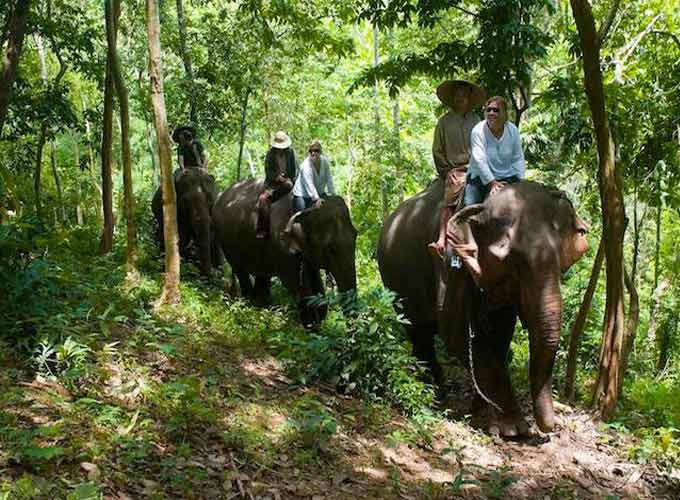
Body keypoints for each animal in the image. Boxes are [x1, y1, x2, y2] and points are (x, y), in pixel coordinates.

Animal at [212, 179, 357, 324]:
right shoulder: (281, 243)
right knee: (240, 270)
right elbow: (294, 282)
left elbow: (315, 280)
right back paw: (249, 304)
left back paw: (261, 304)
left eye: (356, 235)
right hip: (226, 240)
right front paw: (310, 324)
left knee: (262, 273)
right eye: (331, 249)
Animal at [377, 179, 588, 437]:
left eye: (561, 260)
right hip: (396, 281)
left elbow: (501, 333)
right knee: (419, 332)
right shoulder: (452, 265)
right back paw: (434, 391)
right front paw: (513, 429)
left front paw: (482, 414)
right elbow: (456, 332)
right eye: (512, 260)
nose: (555, 426)